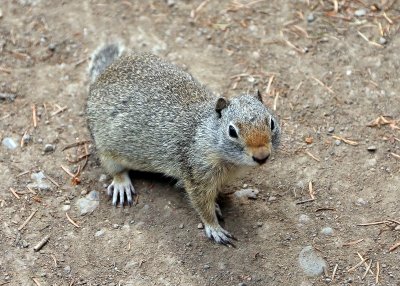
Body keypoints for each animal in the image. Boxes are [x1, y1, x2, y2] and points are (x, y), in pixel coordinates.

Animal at [86, 43, 282, 245]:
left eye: (271, 122)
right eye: (232, 131)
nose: (262, 156)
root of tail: (102, 76)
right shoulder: (197, 176)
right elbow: (202, 205)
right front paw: (214, 227)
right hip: (106, 151)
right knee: (116, 171)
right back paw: (121, 184)